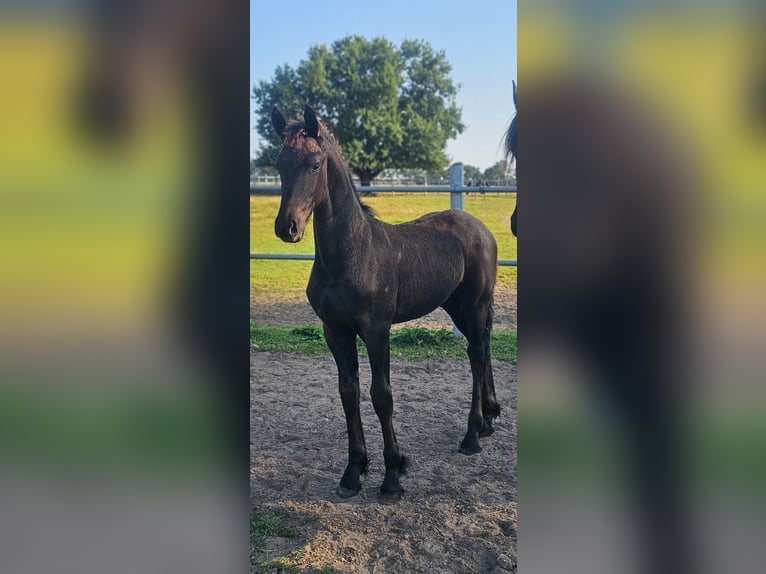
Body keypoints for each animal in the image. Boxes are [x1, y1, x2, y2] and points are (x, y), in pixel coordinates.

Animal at [272, 106, 500, 502]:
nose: (288, 227)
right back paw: (487, 420)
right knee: (482, 349)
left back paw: (472, 435)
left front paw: (393, 474)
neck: (350, 254)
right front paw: (352, 473)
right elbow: (348, 392)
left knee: (476, 356)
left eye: (315, 165)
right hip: (457, 306)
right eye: (279, 164)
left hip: (474, 304)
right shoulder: (336, 330)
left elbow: (382, 395)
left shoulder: (376, 329)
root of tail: (480, 227)